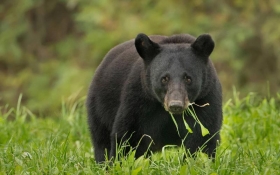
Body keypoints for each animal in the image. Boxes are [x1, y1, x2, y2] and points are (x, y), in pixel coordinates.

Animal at [86, 32, 222, 163]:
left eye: (188, 78)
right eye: (164, 78)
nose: (175, 105)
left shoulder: (206, 98)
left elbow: (203, 137)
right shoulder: (139, 100)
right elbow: (129, 136)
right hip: (100, 107)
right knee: (101, 141)